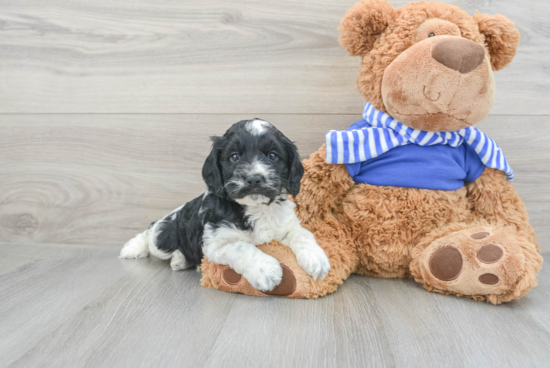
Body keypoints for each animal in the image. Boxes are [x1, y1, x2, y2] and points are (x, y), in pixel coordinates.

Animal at [119, 119, 332, 292]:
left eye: (272, 156)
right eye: (235, 156)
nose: (254, 178)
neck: (256, 208)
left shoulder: (285, 225)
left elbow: (302, 233)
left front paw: (316, 258)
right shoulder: (215, 242)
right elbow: (241, 247)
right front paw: (266, 269)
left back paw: (180, 260)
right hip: (165, 237)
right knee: (151, 234)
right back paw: (134, 248)